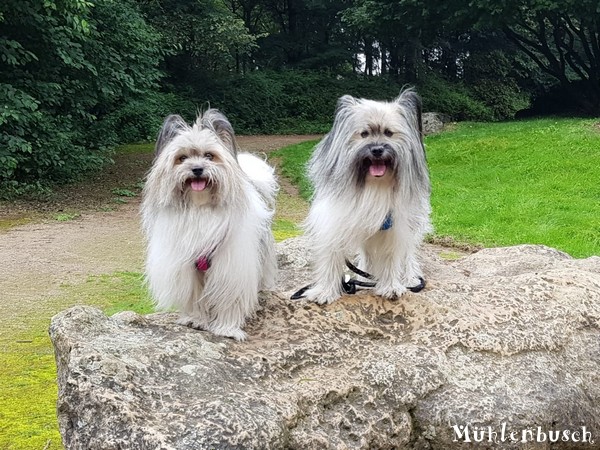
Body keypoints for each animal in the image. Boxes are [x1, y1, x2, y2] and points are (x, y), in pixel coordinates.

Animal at [142, 110, 278, 342]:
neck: (201, 208)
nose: (197, 169)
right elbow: (195, 296)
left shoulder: (231, 267)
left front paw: (227, 328)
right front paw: (196, 320)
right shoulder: (188, 266)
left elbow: (230, 299)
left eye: (209, 156)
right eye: (182, 158)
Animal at [304, 89, 432, 304]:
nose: (377, 149)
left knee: (408, 253)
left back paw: (409, 277)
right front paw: (325, 291)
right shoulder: (335, 220)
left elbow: (391, 257)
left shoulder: (395, 226)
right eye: (364, 134)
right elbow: (331, 257)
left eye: (389, 133)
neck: (374, 184)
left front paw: (390, 286)